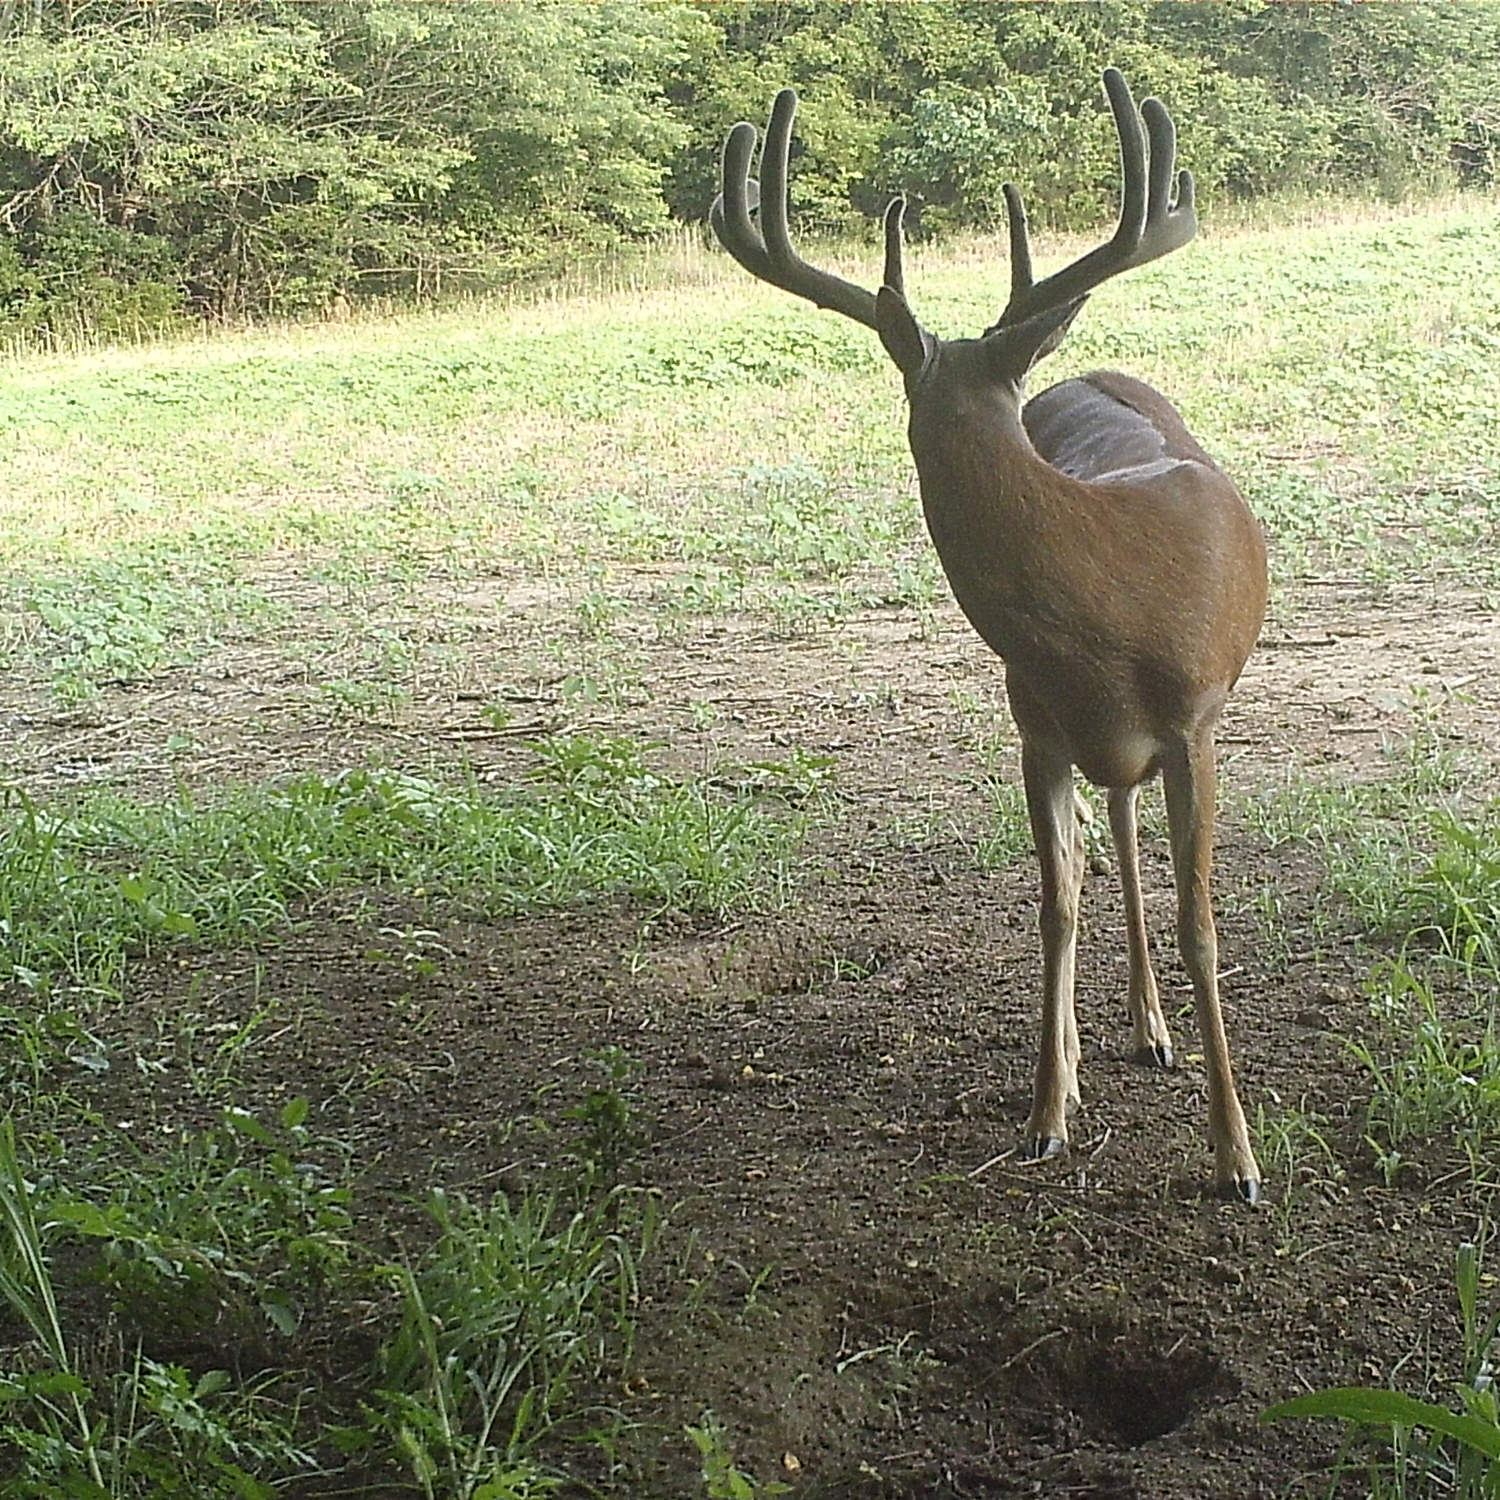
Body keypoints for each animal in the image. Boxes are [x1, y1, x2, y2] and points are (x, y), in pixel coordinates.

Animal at [711, 70, 1266, 1200]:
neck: (1106, 614)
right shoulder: (1034, 727)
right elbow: (1054, 903)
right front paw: (1049, 1110)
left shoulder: (1196, 722)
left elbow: (1201, 925)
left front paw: (1236, 1157)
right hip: (1080, 737)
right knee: (1112, 833)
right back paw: (1131, 1032)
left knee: (1131, 836)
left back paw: (1157, 1033)